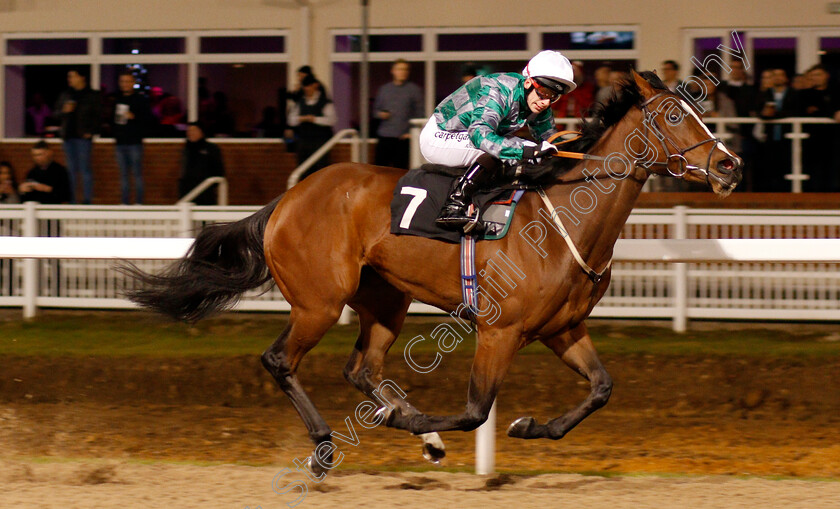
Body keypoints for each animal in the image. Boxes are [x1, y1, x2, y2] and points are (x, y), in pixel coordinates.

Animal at [124, 70, 740, 472]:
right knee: (281, 360)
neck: (564, 216)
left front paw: (528, 426)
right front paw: (426, 426)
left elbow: (602, 389)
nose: (729, 165)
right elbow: (474, 411)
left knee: (362, 369)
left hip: (385, 301)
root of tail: (288, 197)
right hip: (319, 302)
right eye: (671, 116)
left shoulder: (563, 328)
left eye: (701, 111)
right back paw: (328, 445)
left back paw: (412, 430)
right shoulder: (500, 330)